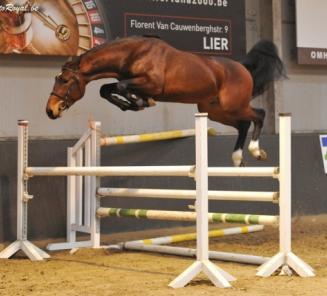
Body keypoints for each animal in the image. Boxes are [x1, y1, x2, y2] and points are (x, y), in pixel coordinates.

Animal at [46, 35, 284, 166]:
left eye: (64, 80)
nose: (50, 110)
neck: (132, 54)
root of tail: (243, 68)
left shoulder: (152, 84)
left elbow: (121, 88)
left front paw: (139, 102)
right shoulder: (128, 80)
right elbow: (106, 89)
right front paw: (133, 102)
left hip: (233, 106)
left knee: (259, 115)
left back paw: (256, 151)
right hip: (216, 110)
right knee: (243, 124)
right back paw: (237, 158)